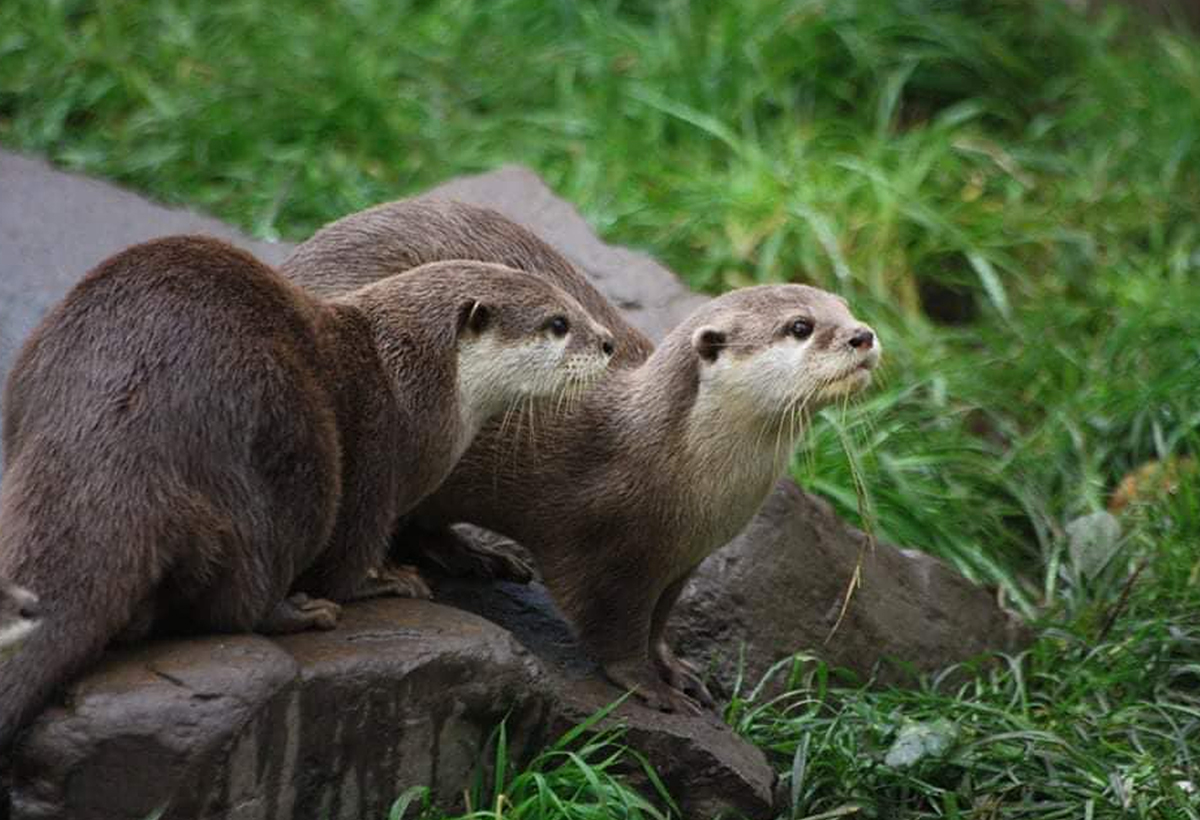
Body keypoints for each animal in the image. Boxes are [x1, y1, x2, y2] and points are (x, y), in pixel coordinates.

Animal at [0, 234, 614, 749]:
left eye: (574, 303)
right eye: (558, 323)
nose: (608, 342)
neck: (412, 380)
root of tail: (114, 426)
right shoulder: (378, 456)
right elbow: (356, 549)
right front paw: (389, 579)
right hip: (296, 449)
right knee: (247, 593)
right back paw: (302, 610)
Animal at [282, 204, 883, 710]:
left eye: (847, 307)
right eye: (801, 326)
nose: (864, 335)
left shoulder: (683, 561)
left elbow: (659, 623)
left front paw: (675, 669)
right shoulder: (603, 549)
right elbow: (611, 628)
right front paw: (649, 686)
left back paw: (479, 557)